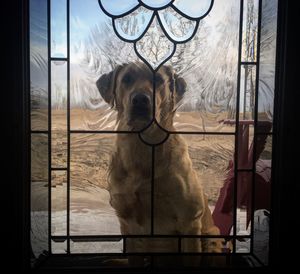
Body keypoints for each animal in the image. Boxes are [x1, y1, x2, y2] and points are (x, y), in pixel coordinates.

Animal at [96, 63, 223, 266]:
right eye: (126, 79)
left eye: (159, 80)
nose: (141, 100)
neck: (142, 149)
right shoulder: (128, 224)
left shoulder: (189, 221)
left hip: (212, 239)